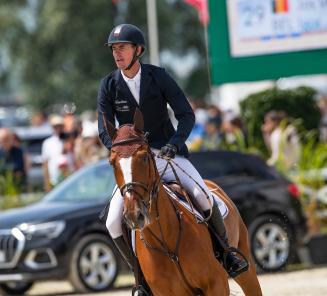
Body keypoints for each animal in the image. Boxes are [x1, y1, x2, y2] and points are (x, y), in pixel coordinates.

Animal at [107, 111, 264, 296]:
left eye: (144, 157)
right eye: (112, 162)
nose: (134, 215)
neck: (166, 242)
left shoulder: (216, 284)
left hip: (247, 269)